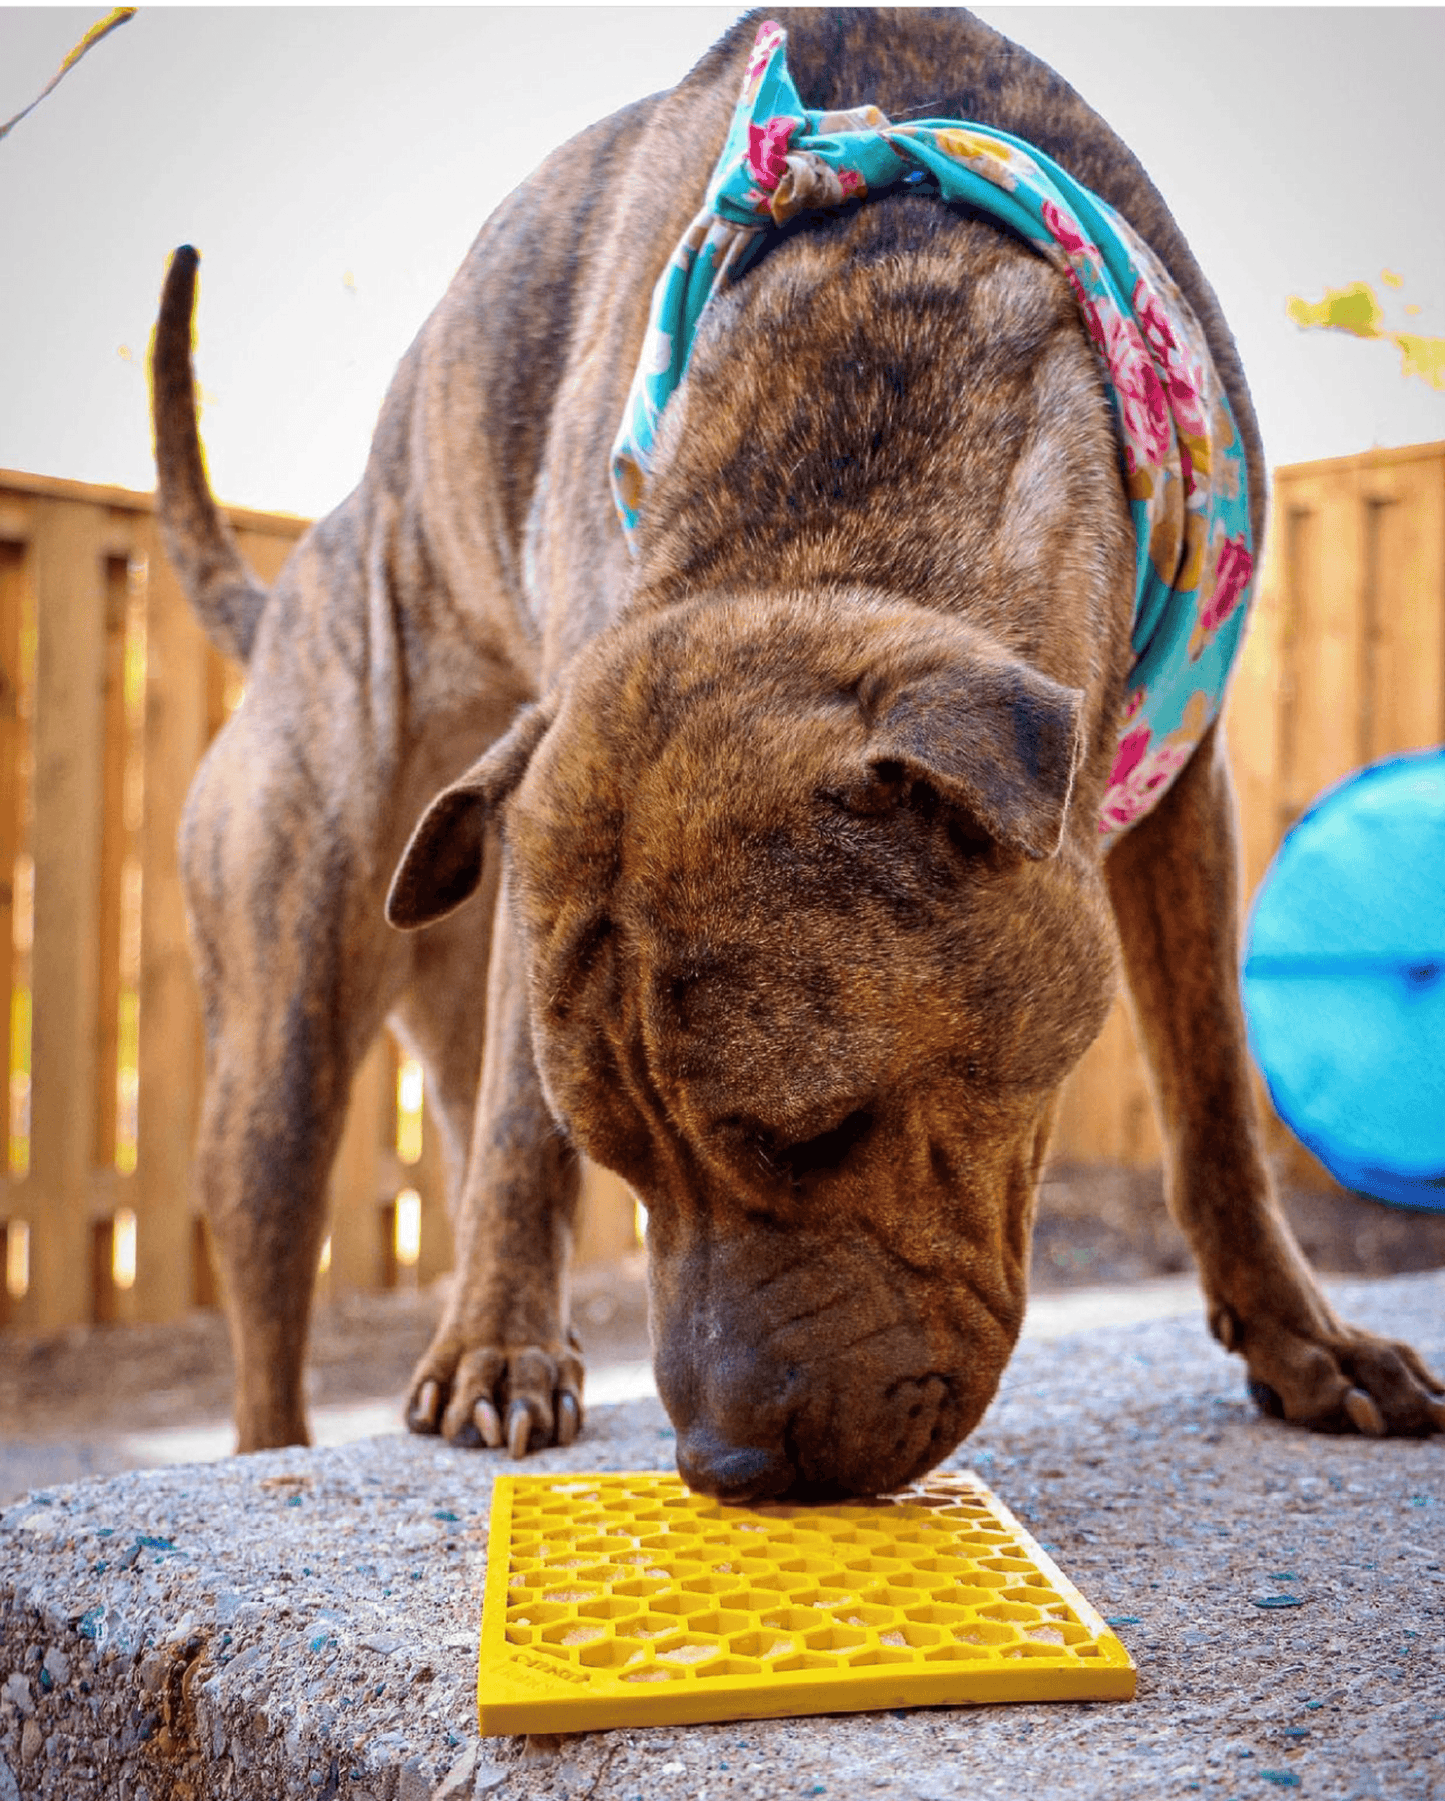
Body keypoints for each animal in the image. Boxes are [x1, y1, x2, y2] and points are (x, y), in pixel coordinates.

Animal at [152, 7, 1434, 1498]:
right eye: (623, 1158)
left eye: (822, 1133)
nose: (722, 1462)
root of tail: (292, 585)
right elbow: (522, 1140)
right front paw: (493, 1350)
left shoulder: (1185, 793)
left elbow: (1217, 1091)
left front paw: (1304, 1340)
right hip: (281, 1049)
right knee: (278, 1292)